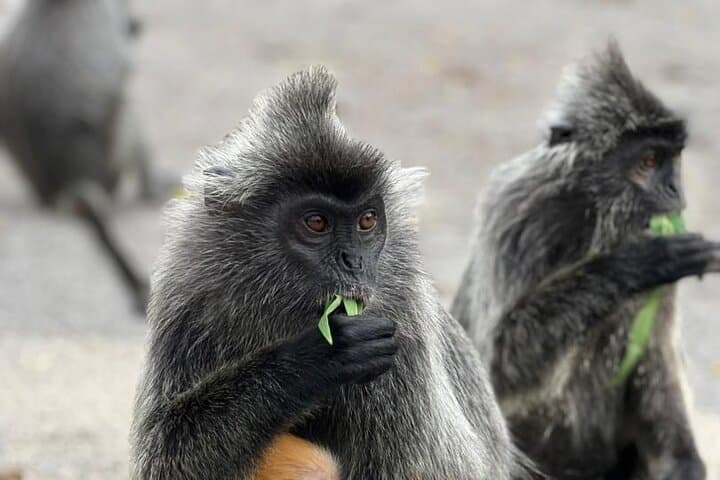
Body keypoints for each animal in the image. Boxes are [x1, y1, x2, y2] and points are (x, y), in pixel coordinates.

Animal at [130, 65, 529, 480]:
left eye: (367, 221)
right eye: (317, 223)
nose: (353, 261)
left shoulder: (403, 325)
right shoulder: (191, 293)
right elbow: (166, 450)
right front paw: (315, 358)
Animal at [451, 42, 720, 480]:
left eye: (672, 159)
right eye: (647, 162)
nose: (675, 190)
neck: (592, 214)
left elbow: (655, 360)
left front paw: (684, 463)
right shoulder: (520, 211)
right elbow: (499, 360)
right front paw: (640, 262)